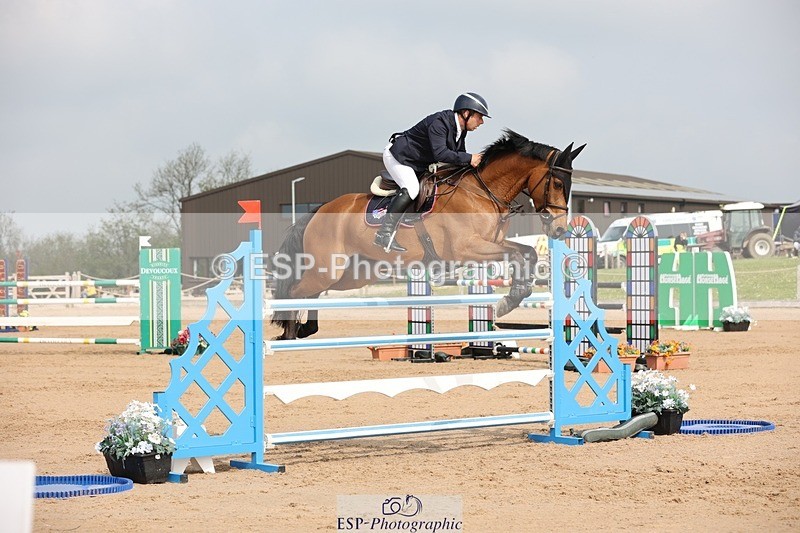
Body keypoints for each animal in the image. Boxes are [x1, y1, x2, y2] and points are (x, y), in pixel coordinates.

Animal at [271, 129, 585, 340]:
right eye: (558, 183)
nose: (559, 229)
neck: (482, 191)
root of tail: (319, 209)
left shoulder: (491, 243)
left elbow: (526, 253)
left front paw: (514, 296)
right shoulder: (466, 249)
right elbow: (520, 253)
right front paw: (510, 300)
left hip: (349, 274)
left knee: (312, 294)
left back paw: (305, 329)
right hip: (329, 269)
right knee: (293, 292)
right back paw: (289, 334)